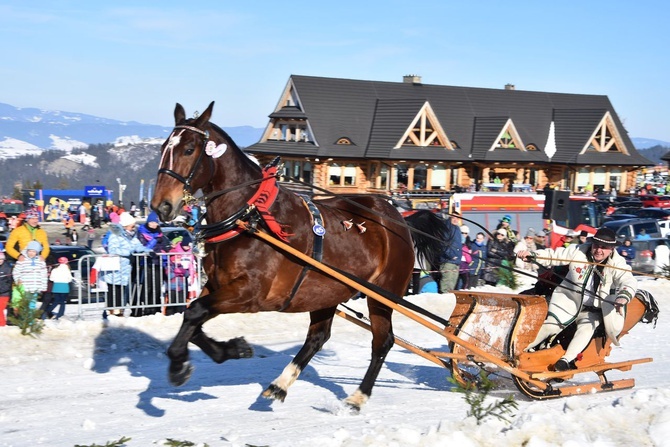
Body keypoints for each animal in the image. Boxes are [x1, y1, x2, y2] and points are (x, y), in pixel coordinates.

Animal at [152, 101, 418, 410]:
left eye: (189, 149)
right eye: (164, 147)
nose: (161, 206)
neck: (250, 217)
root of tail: (395, 216)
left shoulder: (250, 293)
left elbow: (195, 311)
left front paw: (179, 366)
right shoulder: (218, 284)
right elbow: (193, 316)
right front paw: (229, 350)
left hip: (383, 294)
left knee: (382, 341)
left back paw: (358, 396)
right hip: (327, 291)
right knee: (318, 337)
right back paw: (280, 384)